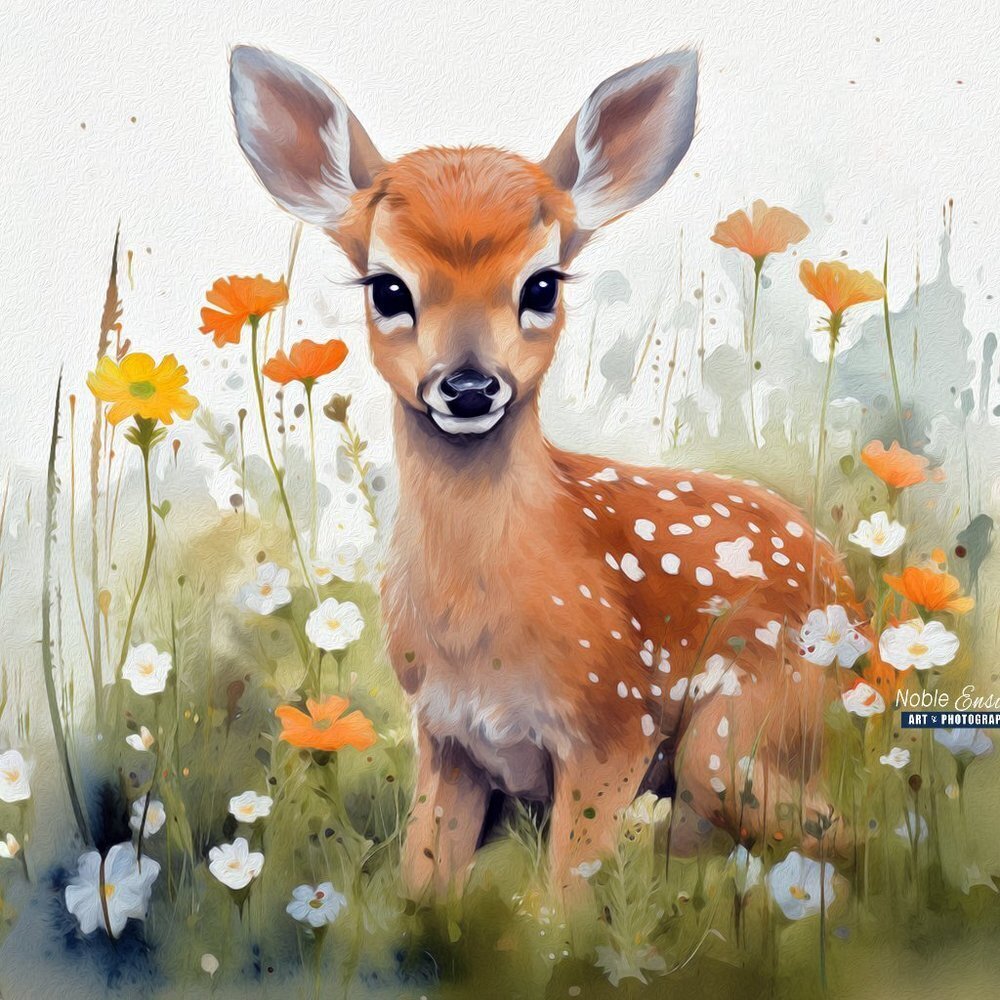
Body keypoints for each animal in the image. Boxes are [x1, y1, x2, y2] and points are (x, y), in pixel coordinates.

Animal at [229, 45, 862, 905]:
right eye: (388, 287)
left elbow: (565, 902)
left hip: (740, 732)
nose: (469, 386)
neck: (478, 630)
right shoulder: (446, 736)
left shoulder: (613, 722)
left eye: (541, 283)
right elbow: (422, 884)